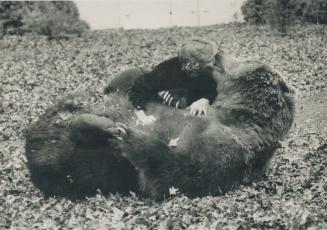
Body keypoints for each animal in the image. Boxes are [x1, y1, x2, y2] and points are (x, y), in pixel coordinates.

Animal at [24, 53, 296, 200]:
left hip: (67, 168)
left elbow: (173, 171)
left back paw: (105, 127)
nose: (218, 54)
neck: (235, 115)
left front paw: (129, 135)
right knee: (125, 78)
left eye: (244, 58)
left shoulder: (231, 150)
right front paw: (176, 98)